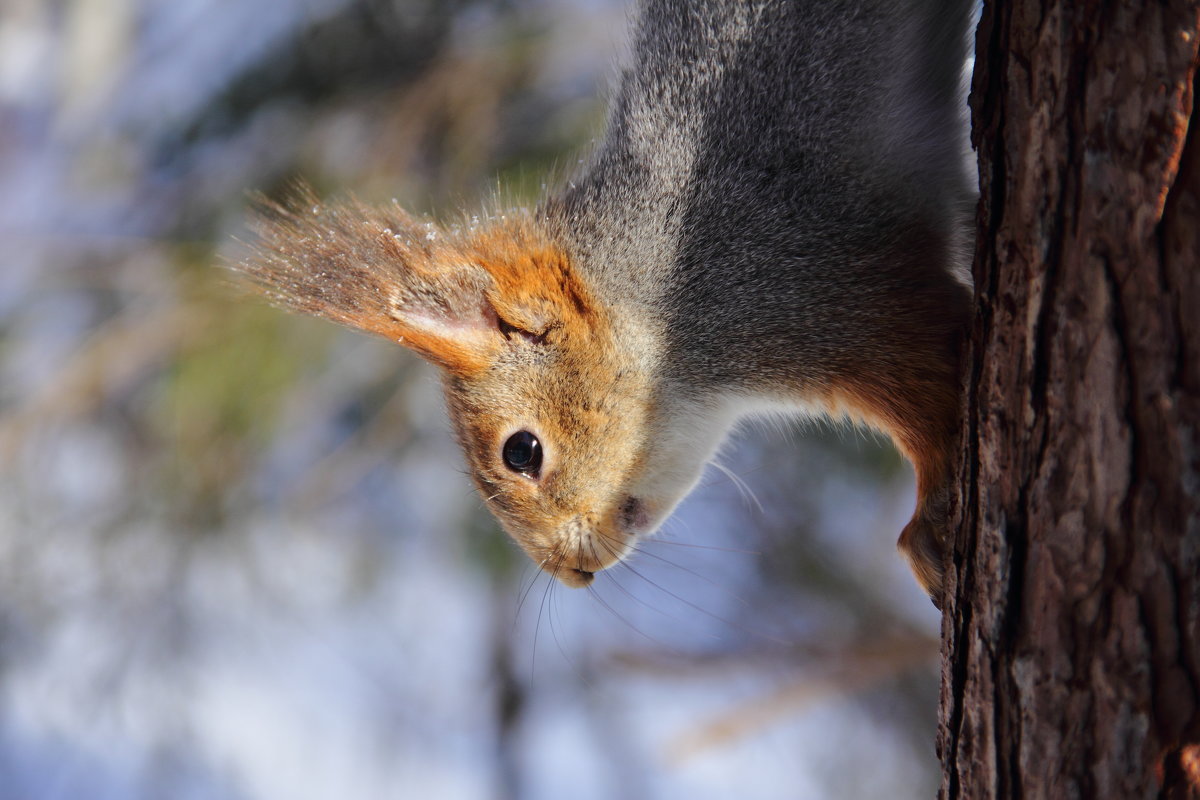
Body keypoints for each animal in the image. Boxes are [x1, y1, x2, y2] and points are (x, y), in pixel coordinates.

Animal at [236, 0, 974, 599]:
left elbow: (930, 379)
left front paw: (928, 519)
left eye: (522, 452)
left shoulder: (819, 285)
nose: (570, 573)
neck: (654, 295)